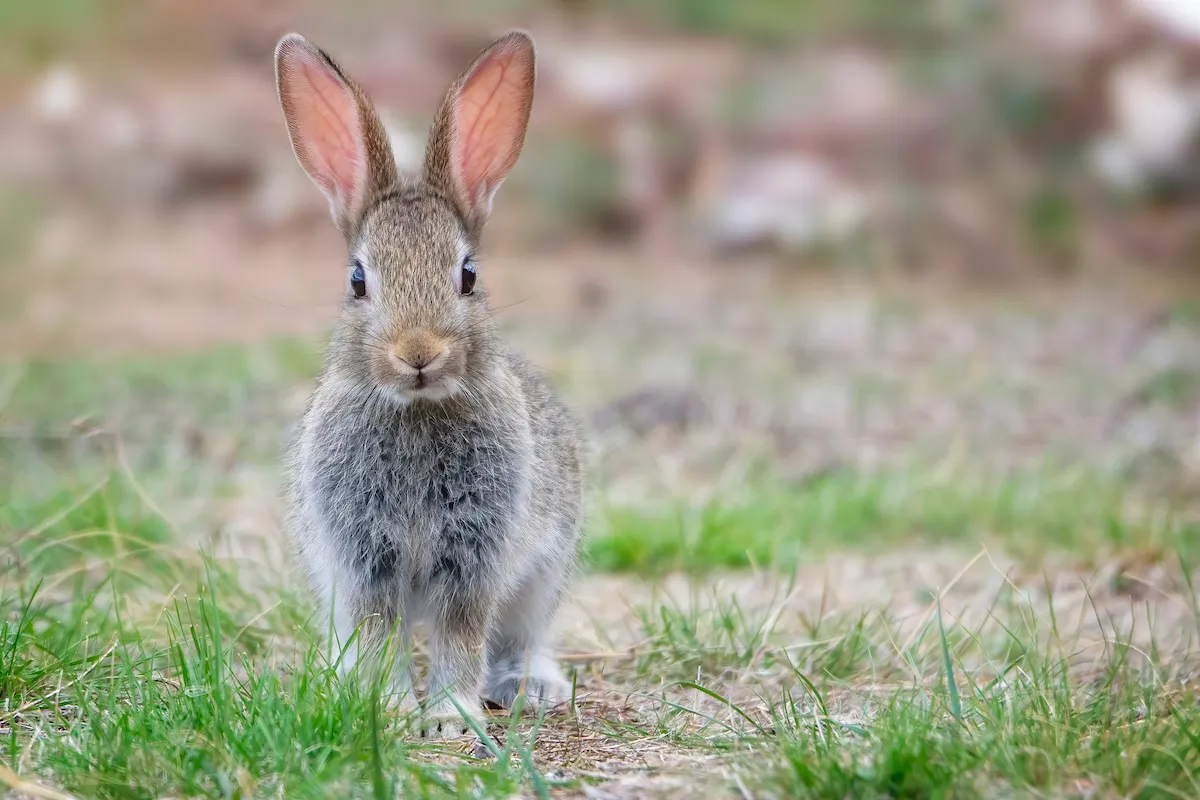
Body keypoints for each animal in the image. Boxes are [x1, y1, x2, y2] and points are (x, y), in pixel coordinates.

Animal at [274, 29, 585, 739]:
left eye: (467, 275)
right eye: (358, 280)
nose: (418, 353)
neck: (416, 409)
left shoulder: (474, 552)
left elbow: (462, 632)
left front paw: (449, 717)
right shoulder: (364, 559)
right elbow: (378, 631)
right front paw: (384, 707)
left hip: (546, 572)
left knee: (519, 636)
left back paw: (531, 685)